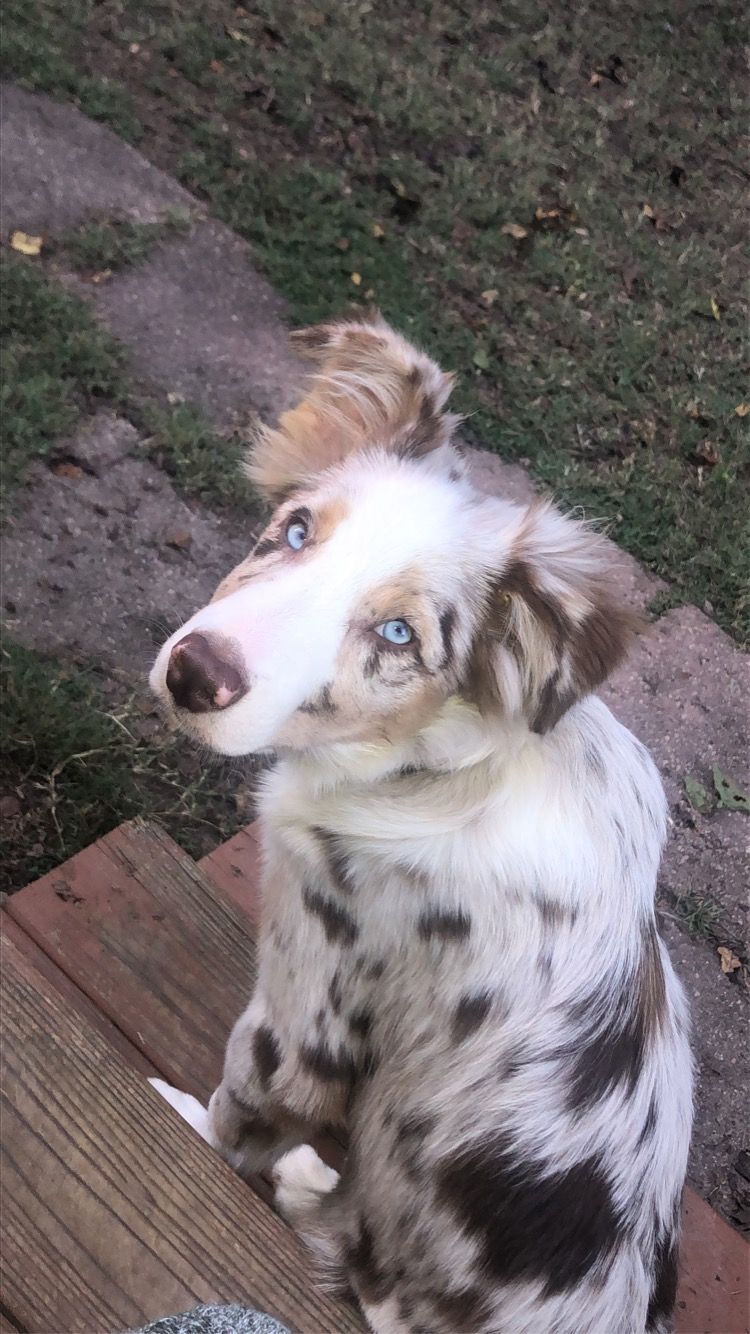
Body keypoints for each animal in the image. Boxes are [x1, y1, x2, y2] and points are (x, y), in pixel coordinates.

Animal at [149, 313, 693, 1334]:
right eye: (295, 530)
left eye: (398, 635)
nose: (195, 673)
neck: (433, 769)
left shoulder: (306, 1012)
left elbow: (233, 1115)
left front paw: (182, 1117)